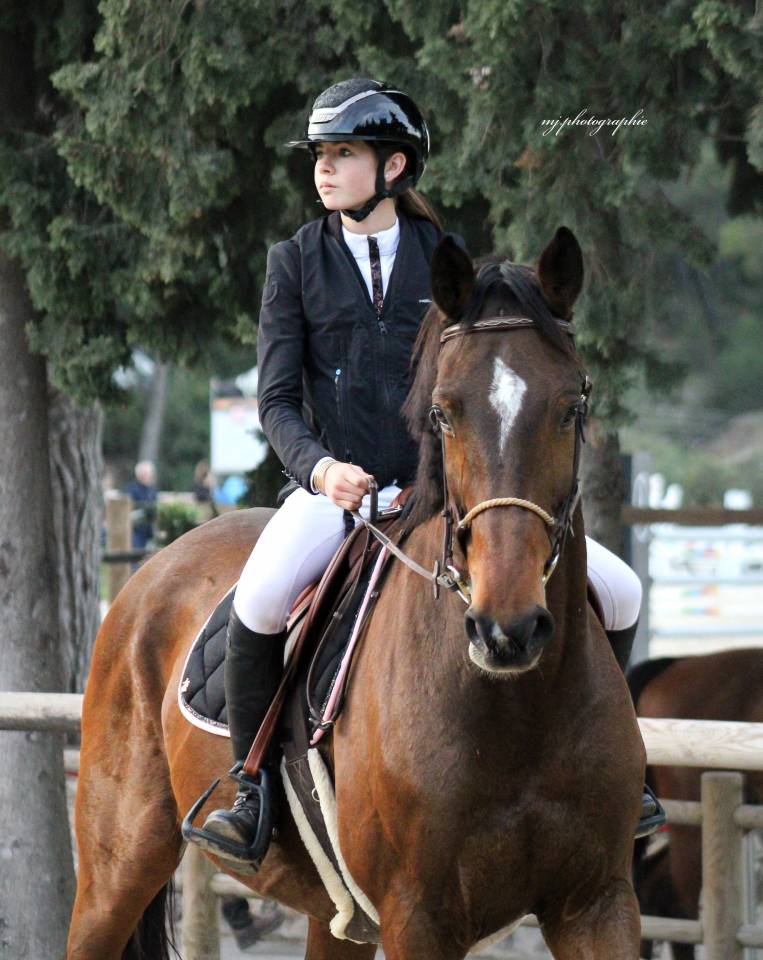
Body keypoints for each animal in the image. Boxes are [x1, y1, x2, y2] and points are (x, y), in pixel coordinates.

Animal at [66, 226, 646, 960]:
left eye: (572, 407)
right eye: (443, 412)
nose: (505, 629)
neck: (517, 710)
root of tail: (150, 570)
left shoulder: (597, 903)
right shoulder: (418, 917)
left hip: (332, 914)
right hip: (118, 864)